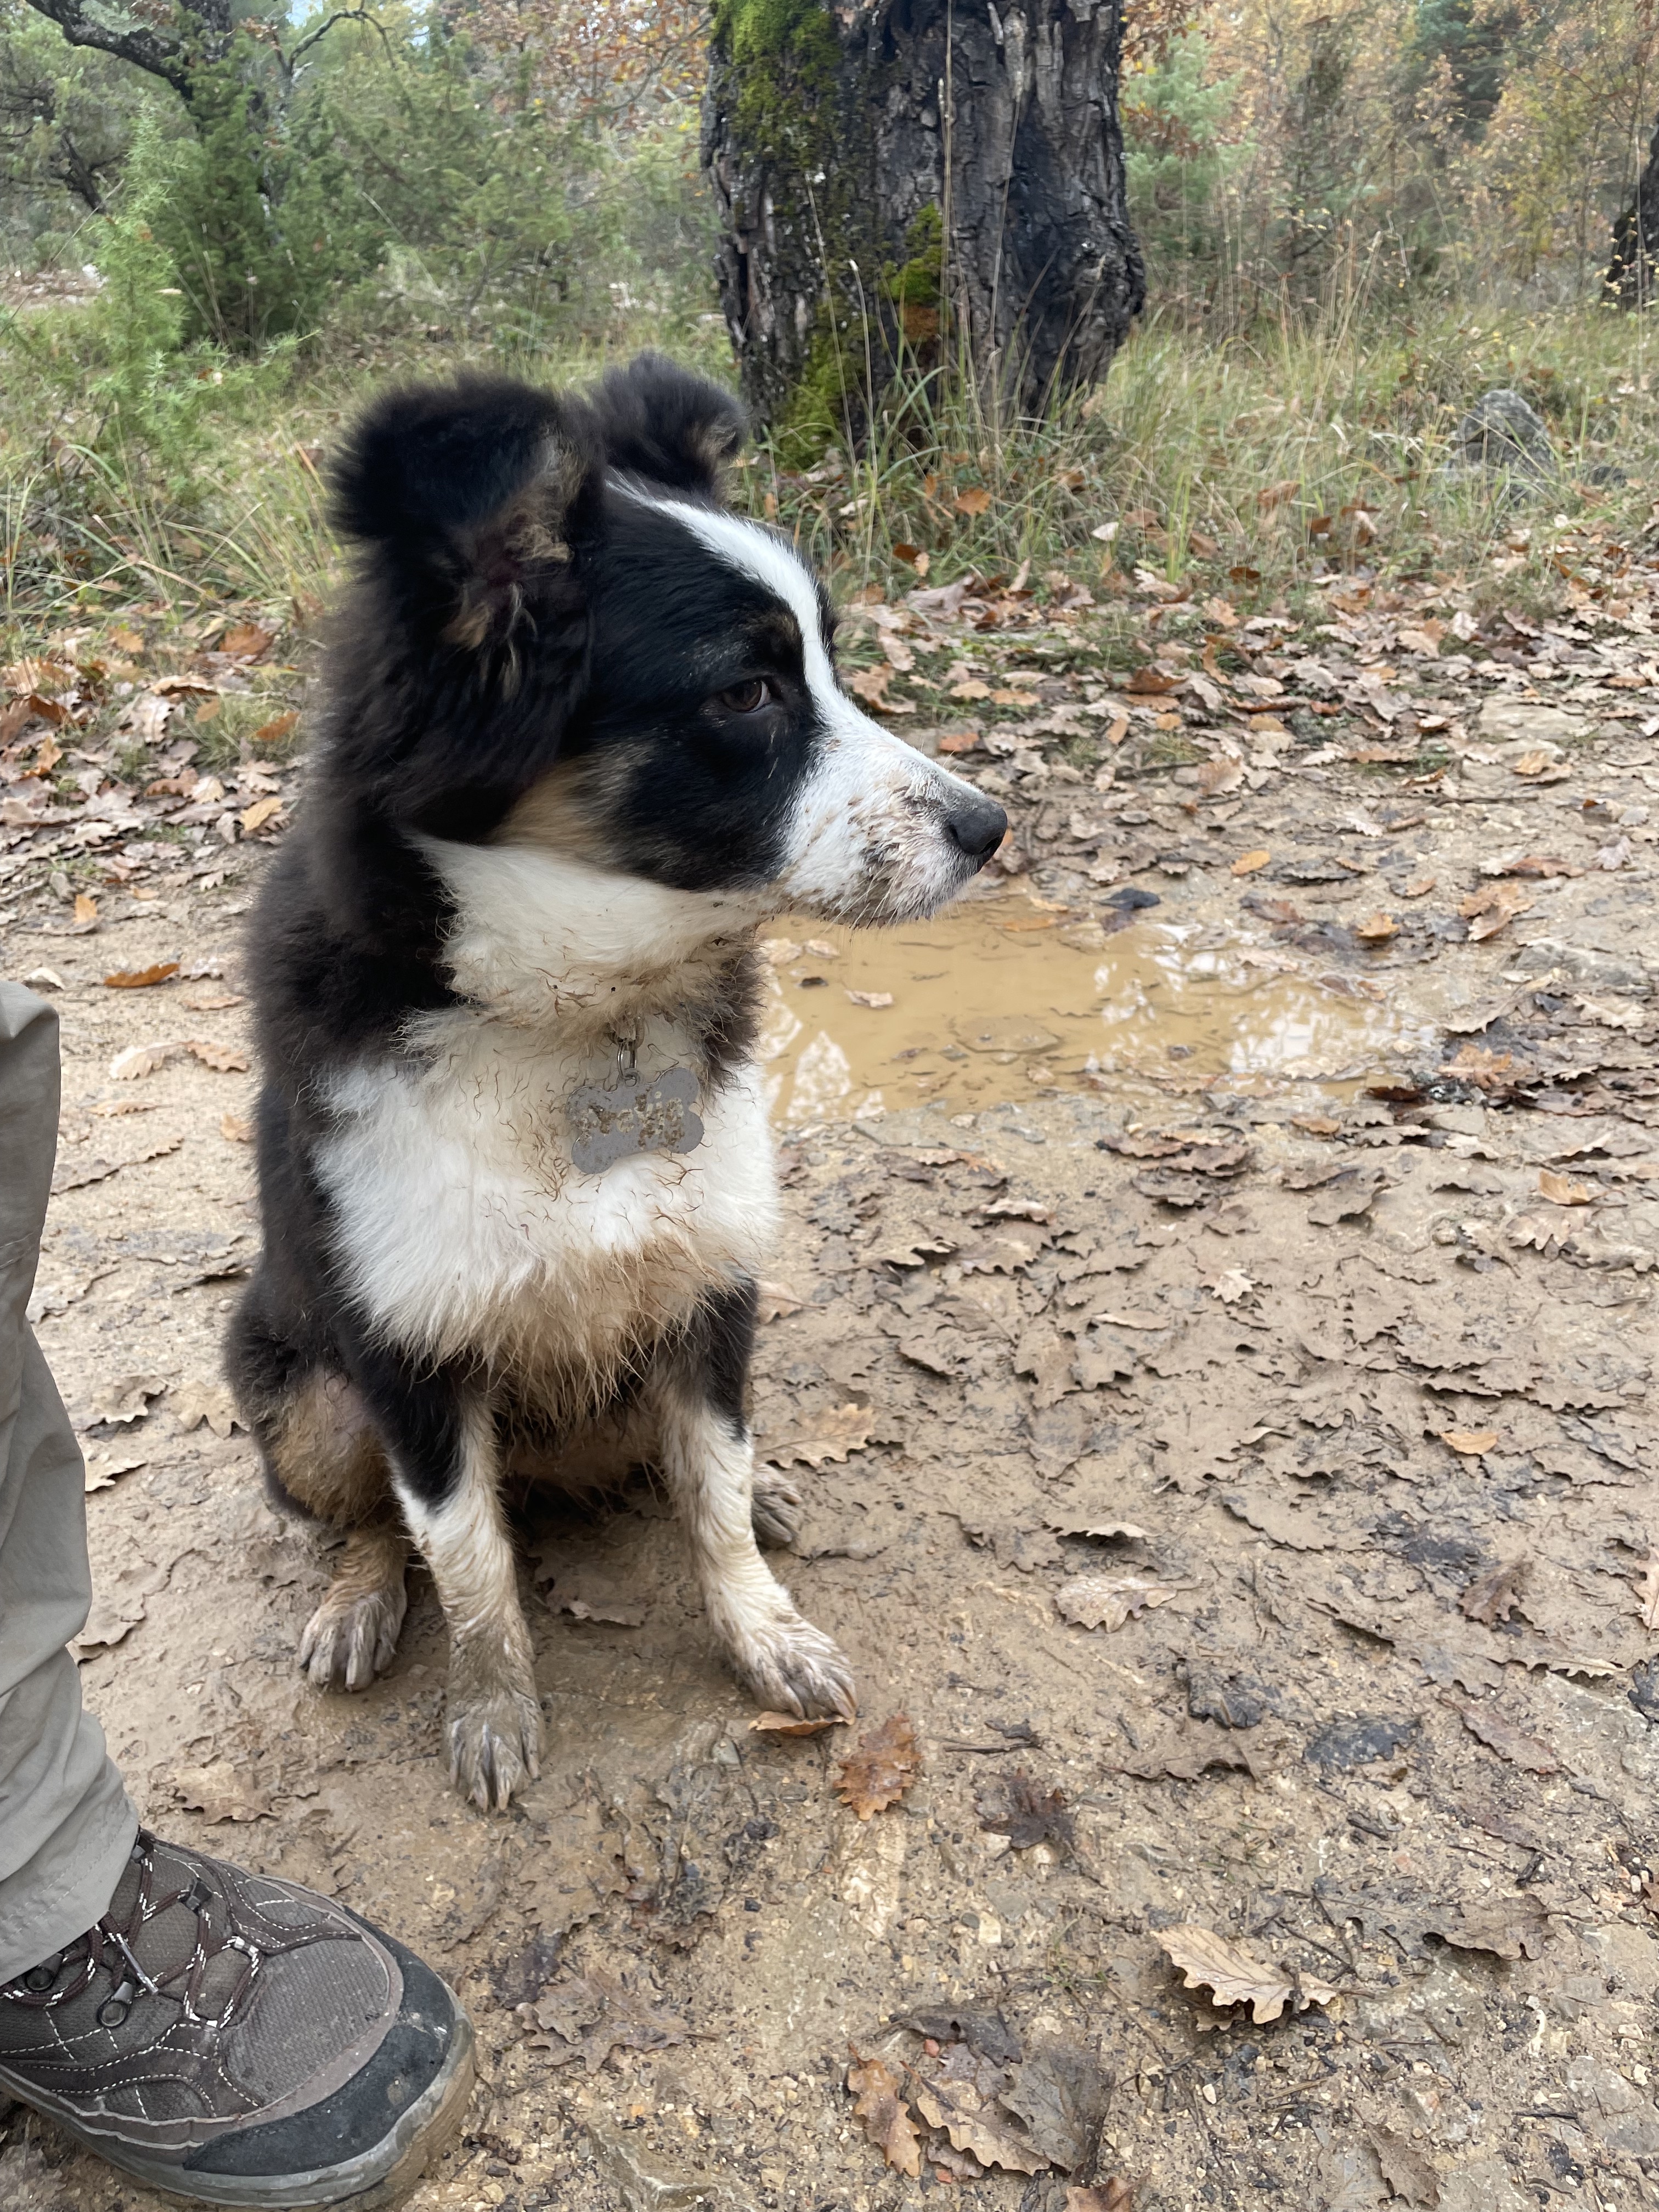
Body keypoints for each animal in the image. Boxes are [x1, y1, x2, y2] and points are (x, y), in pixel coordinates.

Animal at [227, 353, 1007, 1809]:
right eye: (747, 694)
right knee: (365, 1519)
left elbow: (713, 1499)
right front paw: (492, 1704)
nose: (993, 829)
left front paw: (763, 1630)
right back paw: (361, 1596)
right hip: (296, 1384)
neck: (583, 1019)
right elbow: (465, 1558)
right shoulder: (409, 1353)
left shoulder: (711, 1285)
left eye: (830, 662)